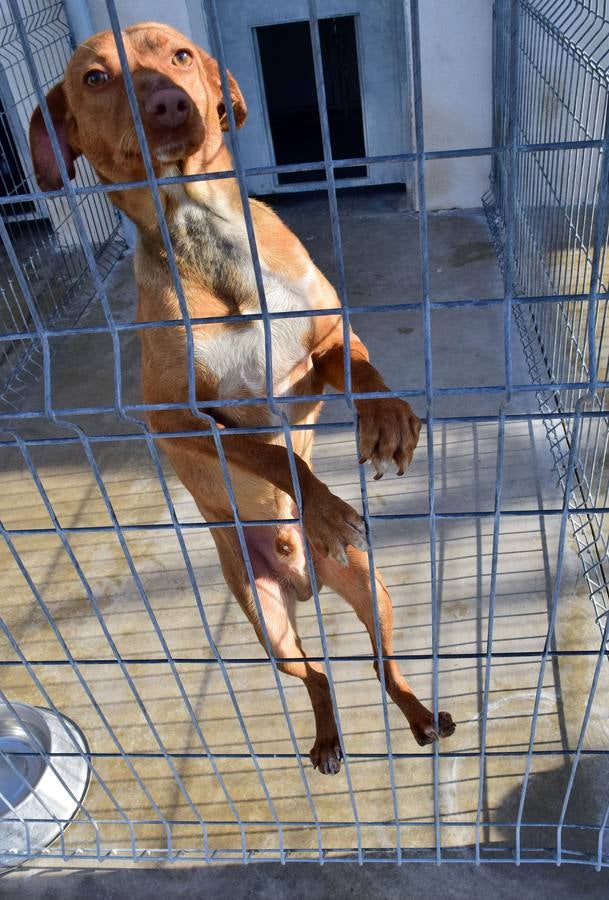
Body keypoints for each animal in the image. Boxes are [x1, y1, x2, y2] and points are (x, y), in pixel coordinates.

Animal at [29, 21, 456, 772]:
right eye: (94, 78)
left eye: (179, 54)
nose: (169, 104)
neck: (207, 237)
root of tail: (306, 582)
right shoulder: (176, 420)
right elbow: (266, 452)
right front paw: (322, 507)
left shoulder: (320, 348)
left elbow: (362, 368)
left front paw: (387, 422)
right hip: (268, 626)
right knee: (316, 674)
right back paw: (328, 738)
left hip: (371, 587)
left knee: (382, 666)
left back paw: (420, 717)